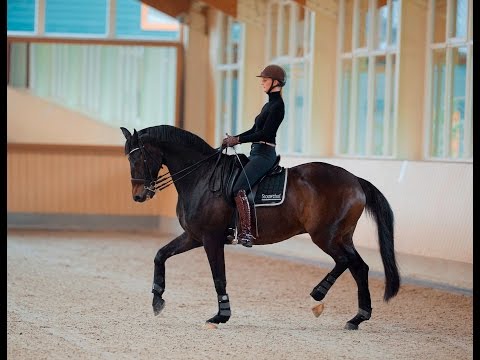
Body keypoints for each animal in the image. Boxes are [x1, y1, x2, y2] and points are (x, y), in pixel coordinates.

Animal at [120, 124, 402, 330]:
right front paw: (157, 299)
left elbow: (219, 276)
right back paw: (357, 318)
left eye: (140, 157)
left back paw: (319, 294)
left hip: (326, 236)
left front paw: (221, 315)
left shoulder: (211, 238)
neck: (201, 176)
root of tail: (355, 179)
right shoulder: (193, 236)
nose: (138, 196)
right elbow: (160, 255)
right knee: (359, 268)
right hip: (342, 236)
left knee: (345, 262)